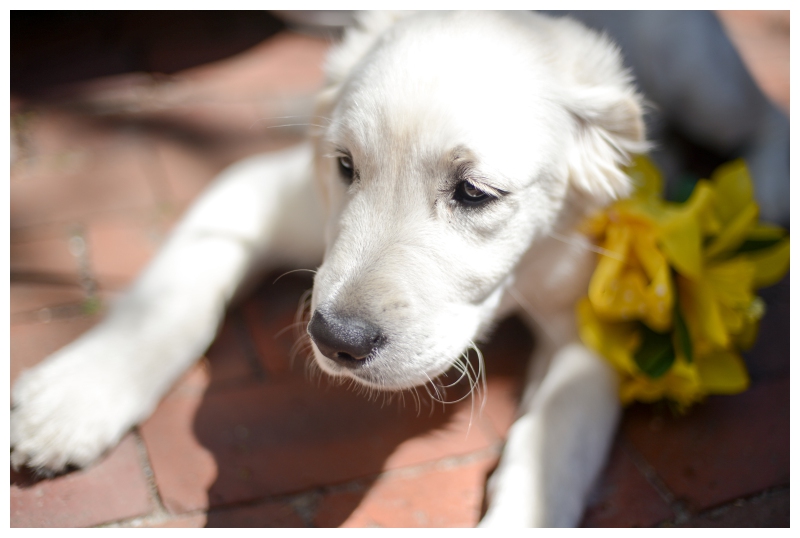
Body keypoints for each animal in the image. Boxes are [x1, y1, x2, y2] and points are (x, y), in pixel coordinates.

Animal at [12, 10, 648, 524]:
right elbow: (171, 294)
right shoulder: (261, 189)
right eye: (345, 165)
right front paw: (74, 396)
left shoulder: (597, 322)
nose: (337, 340)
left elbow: (555, 437)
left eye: (474, 192)